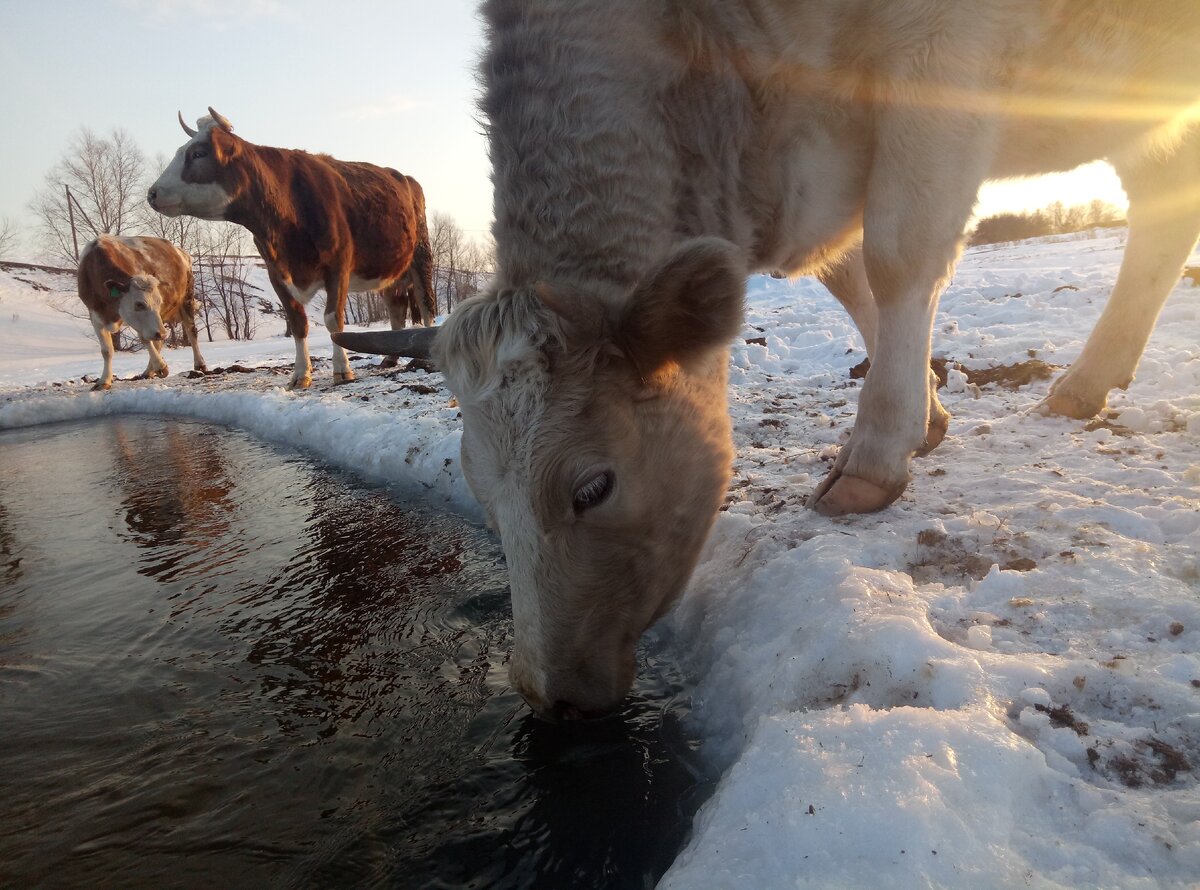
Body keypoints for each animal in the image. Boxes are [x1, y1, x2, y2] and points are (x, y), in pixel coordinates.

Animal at [78, 235, 208, 391]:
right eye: (139, 304)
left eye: (158, 302)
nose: (162, 333)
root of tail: (180, 251)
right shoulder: (95, 314)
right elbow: (107, 350)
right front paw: (104, 381)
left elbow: (145, 339)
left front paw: (161, 366)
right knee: (159, 340)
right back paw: (149, 371)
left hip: (186, 298)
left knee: (191, 331)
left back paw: (199, 364)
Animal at [145, 109, 436, 388]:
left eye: (198, 153)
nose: (152, 193)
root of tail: (406, 178)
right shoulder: (276, 273)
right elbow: (298, 324)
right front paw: (300, 374)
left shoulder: (339, 265)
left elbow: (334, 321)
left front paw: (342, 370)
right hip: (391, 272)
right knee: (396, 309)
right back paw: (390, 358)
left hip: (421, 257)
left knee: (426, 306)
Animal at [331, 0, 1200, 719]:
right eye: (478, 490)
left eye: (593, 488)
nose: (551, 696)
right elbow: (850, 279)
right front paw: (926, 414)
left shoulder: (943, 53)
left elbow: (897, 256)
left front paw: (877, 453)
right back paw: (1087, 382)